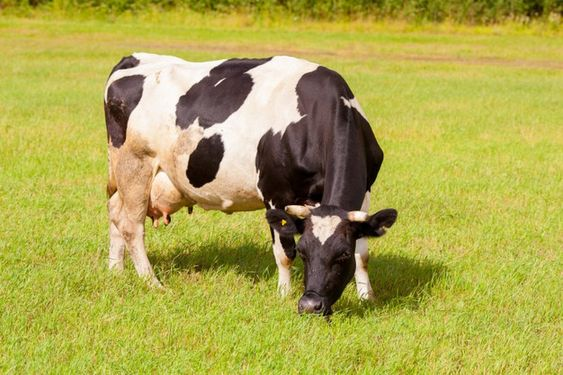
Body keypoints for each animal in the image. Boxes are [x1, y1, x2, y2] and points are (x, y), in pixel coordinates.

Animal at [103, 53, 398, 316]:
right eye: (304, 252)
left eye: (342, 255)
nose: (310, 305)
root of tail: (132, 59)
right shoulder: (276, 193)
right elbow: (284, 252)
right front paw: (283, 294)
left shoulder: (365, 195)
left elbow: (363, 254)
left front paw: (367, 296)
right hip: (134, 164)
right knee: (131, 225)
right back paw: (152, 282)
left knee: (115, 211)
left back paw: (115, 271)